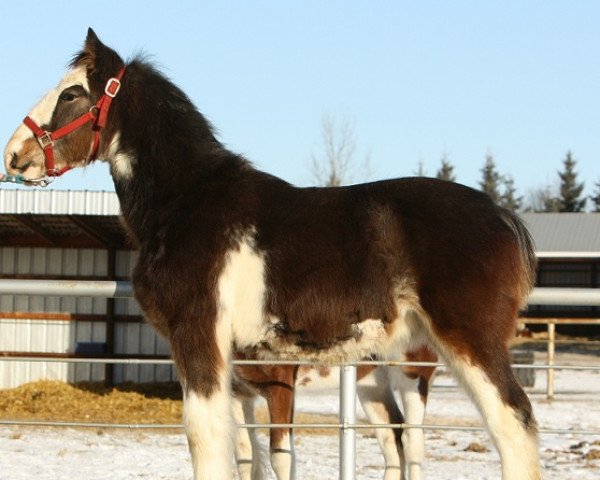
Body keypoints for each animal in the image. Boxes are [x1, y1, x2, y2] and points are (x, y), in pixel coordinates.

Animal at [2, 30, 540, 480]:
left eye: (72, 94)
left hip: (456, 350)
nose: (14, 154)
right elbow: (241, 451)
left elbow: (205, 439)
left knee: (512, 426)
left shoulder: (199, 339)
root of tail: (502, 216)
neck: (188, 201)